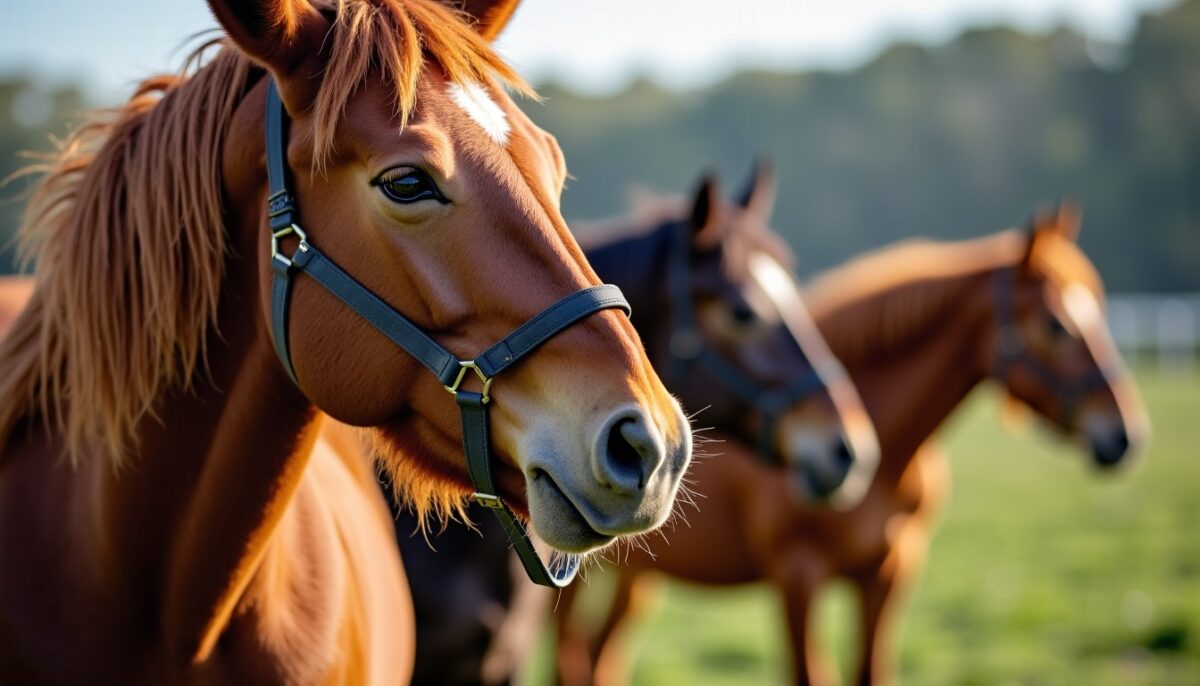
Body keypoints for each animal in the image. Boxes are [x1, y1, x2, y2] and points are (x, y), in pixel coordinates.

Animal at [554, 203, 1150, 686]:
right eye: (1056, 325)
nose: (1126, 433)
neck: (887, 464)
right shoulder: (798, 579)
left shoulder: (888, 574)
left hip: (636, 579)